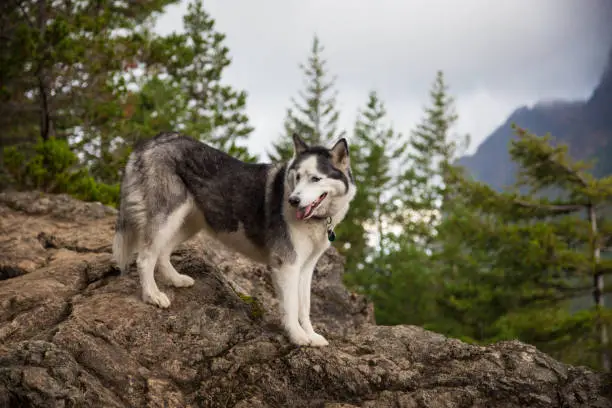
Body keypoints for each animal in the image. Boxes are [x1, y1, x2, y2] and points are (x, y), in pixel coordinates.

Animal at [112, 132, 356, 346]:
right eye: (297, 177)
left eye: (315, 179)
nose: (293, 200)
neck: (317, 220)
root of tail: (153, 140)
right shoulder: (287, 265)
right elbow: (291, 306)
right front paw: (297, 336)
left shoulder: (305, 269)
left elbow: (304, 307)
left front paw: (311, 335)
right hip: (168, 217)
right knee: (145, 258)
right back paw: (152, 295)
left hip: (187, 223)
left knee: (162, 253)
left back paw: (176, 280)